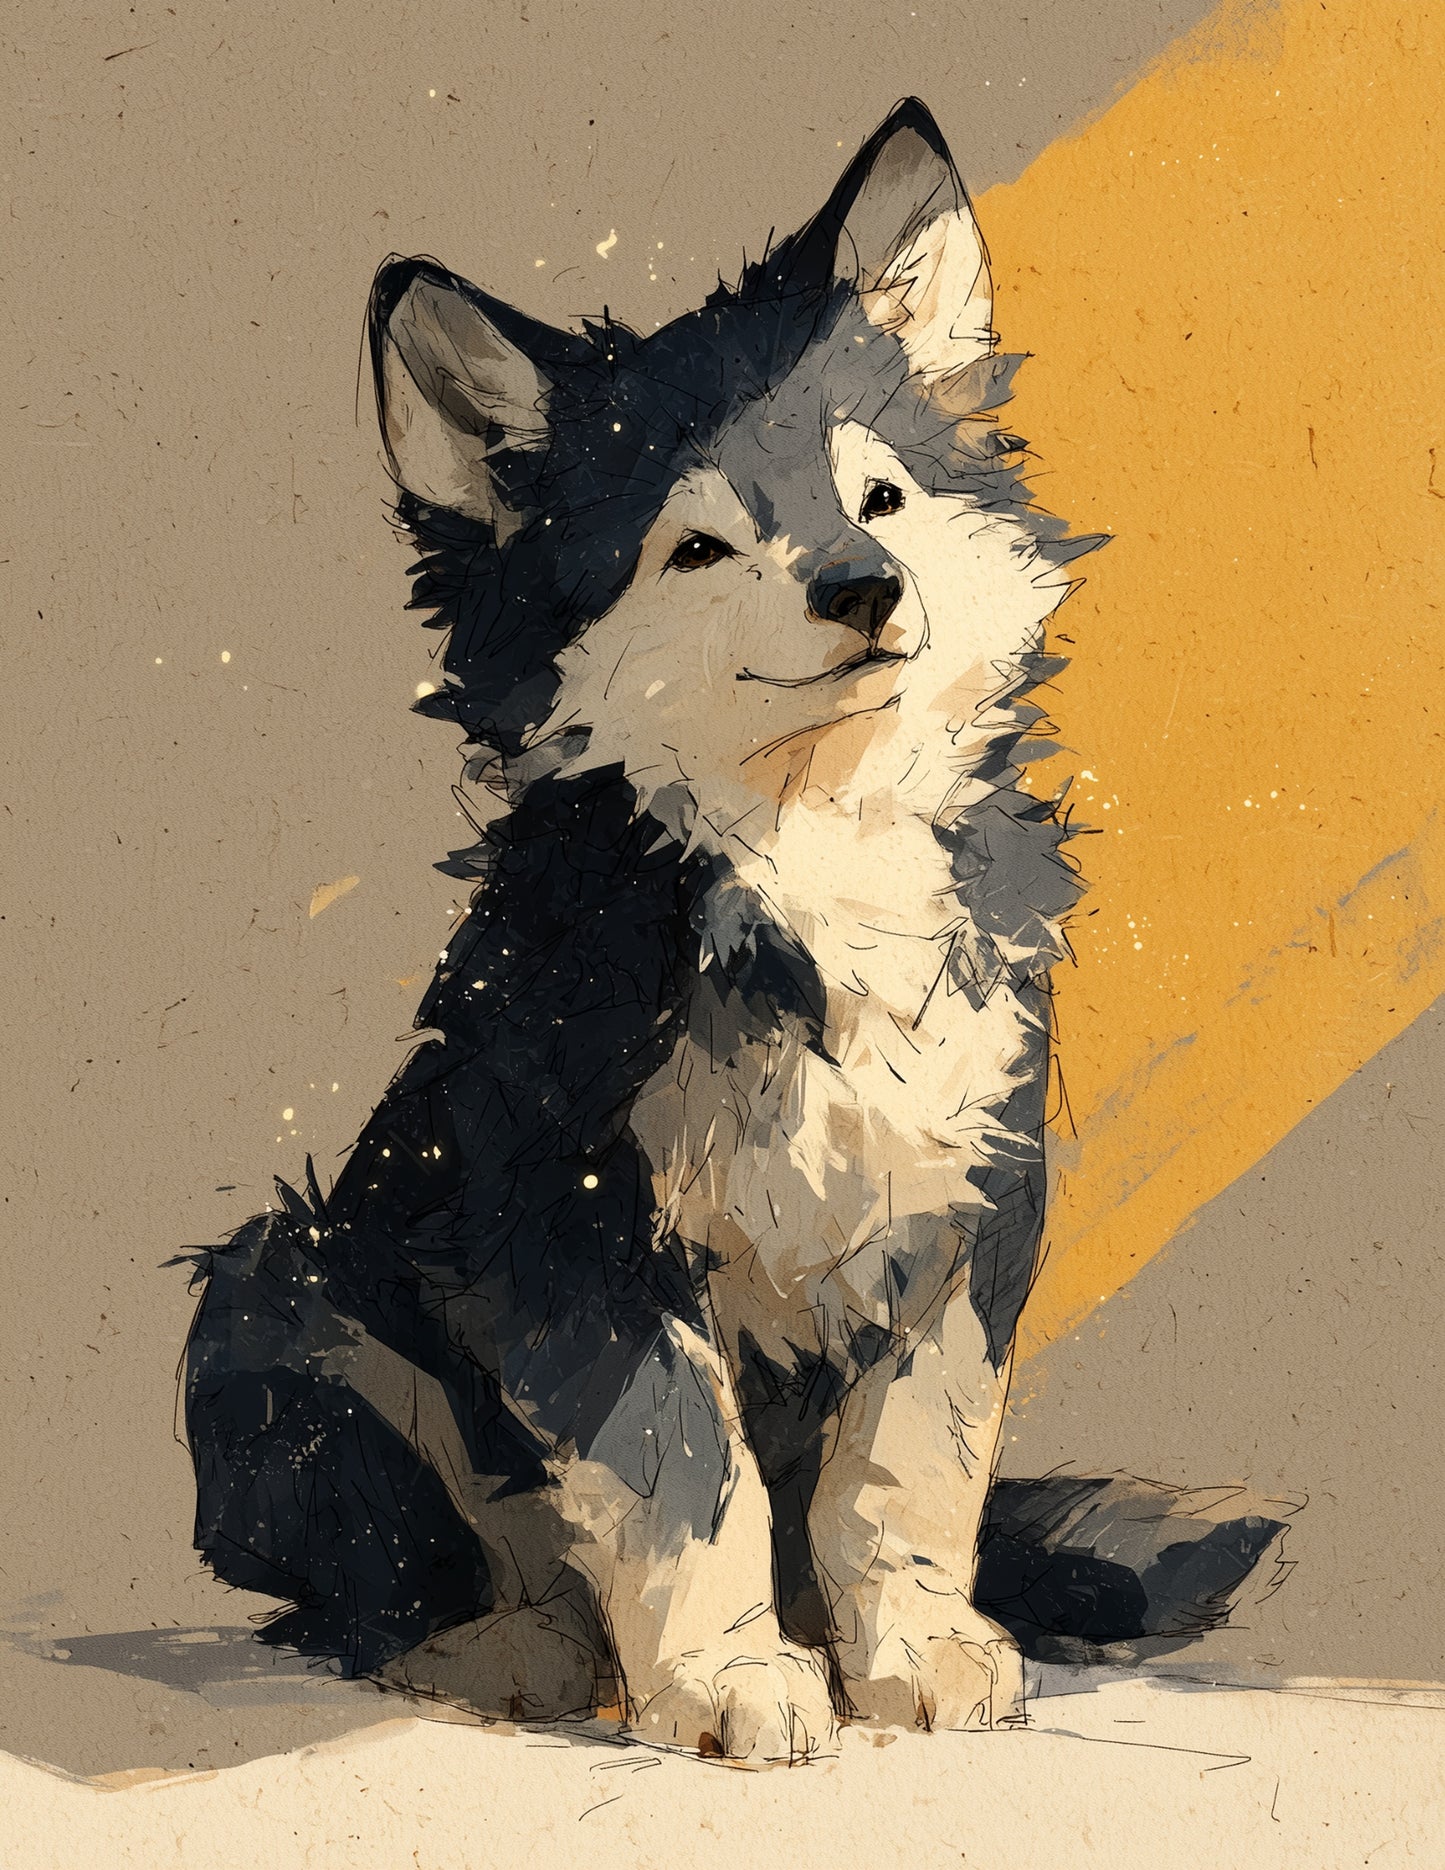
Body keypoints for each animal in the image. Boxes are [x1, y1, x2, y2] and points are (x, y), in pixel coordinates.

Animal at [183, 100, 1286, 1765]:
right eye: (696, 548)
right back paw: (506, 1643)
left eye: (880, 498)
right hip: (279, 1306)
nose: (864, 587)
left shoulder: (962, 1208)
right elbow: (678, 1475)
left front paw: (910, 1648)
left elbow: (902, 1471)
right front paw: (729, 1681)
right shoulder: (578, 1235)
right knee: (388, 1576)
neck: (811, 854)